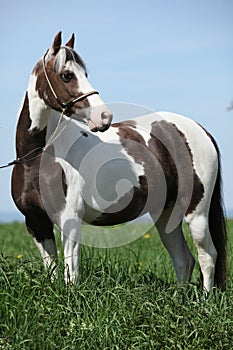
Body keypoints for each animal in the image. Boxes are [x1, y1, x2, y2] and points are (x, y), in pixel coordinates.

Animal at [11, 32, 228, 292]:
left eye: (85, 74)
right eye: (67, 75)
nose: (104, 117)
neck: (37, 159)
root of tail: (200, 130)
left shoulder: (69, 219)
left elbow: (71, 274)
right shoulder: (36, 223)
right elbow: (53, 271)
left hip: (196, 212)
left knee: (208, 256)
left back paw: (204, 299)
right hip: (166, 214)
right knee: (184, 259)